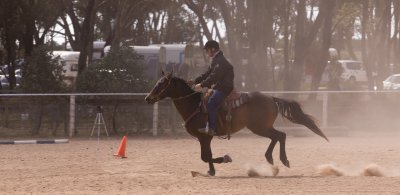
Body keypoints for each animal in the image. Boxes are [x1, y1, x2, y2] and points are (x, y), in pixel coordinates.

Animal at [145, 73, 328, 177]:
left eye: (161, 84)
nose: (148, 98)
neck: (194, 105)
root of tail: (271, 98)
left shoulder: (205, 136)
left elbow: (206, 156)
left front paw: (225, 159)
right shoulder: (205, 138)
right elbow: (207, 156)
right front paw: (211, 171)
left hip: (259, 127)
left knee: (280, 136)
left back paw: (282, 160)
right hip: (262, 127)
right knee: (278, 136)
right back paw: (271, 160)